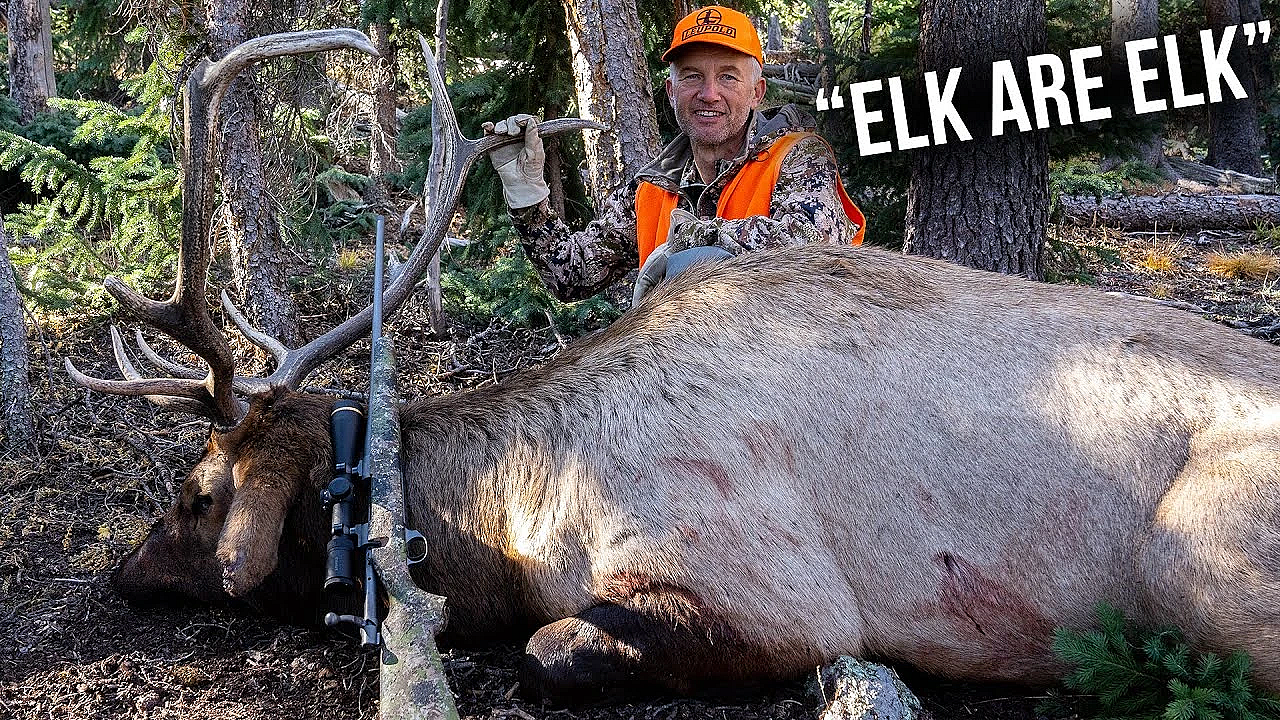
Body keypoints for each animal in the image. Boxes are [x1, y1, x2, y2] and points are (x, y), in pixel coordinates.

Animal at [67, 28, 1280, 708]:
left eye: (198, 493)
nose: (118, 574)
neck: (513, 521)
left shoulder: (775, 596)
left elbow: (548, 649)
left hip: (1197, 553)